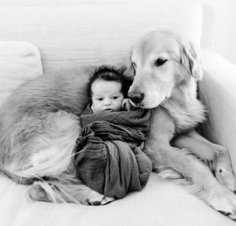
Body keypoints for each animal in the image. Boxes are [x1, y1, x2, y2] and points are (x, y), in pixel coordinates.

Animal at [128, 29, 236, 220]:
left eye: (160, 61)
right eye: (135, 65)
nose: (133, 97)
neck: (178, 101)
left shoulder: (183, 134)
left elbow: (221, 149)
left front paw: (227, 178)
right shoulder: (155, 145)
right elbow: (195, 166)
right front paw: (222, 195)